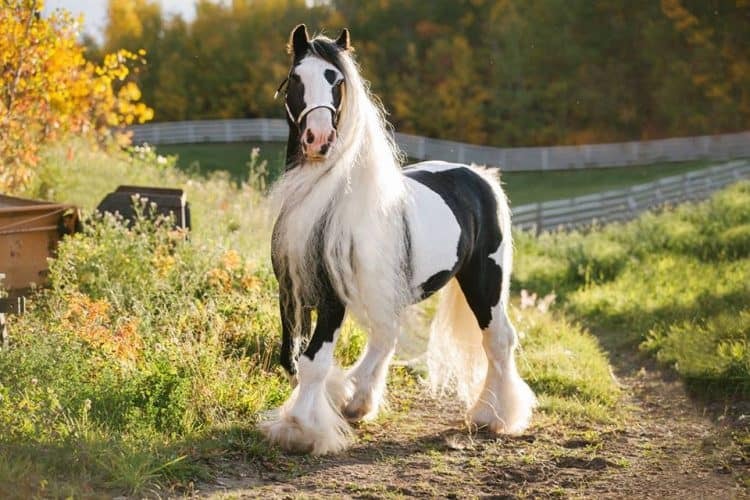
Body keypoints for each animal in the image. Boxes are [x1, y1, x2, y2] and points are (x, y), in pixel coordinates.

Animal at [262, 25, 536, 456]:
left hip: (486, 282)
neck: (326, 203)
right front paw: (331, 403)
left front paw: (300, 428)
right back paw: (358, 401)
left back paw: (492, 416)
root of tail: (478, 176)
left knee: (498, 340)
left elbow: (313, 362)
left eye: (336, 81)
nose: (318, 139)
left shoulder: (332, 298)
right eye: (295, 79)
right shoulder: (290, 290)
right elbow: (292, 358)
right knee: (386, 336)